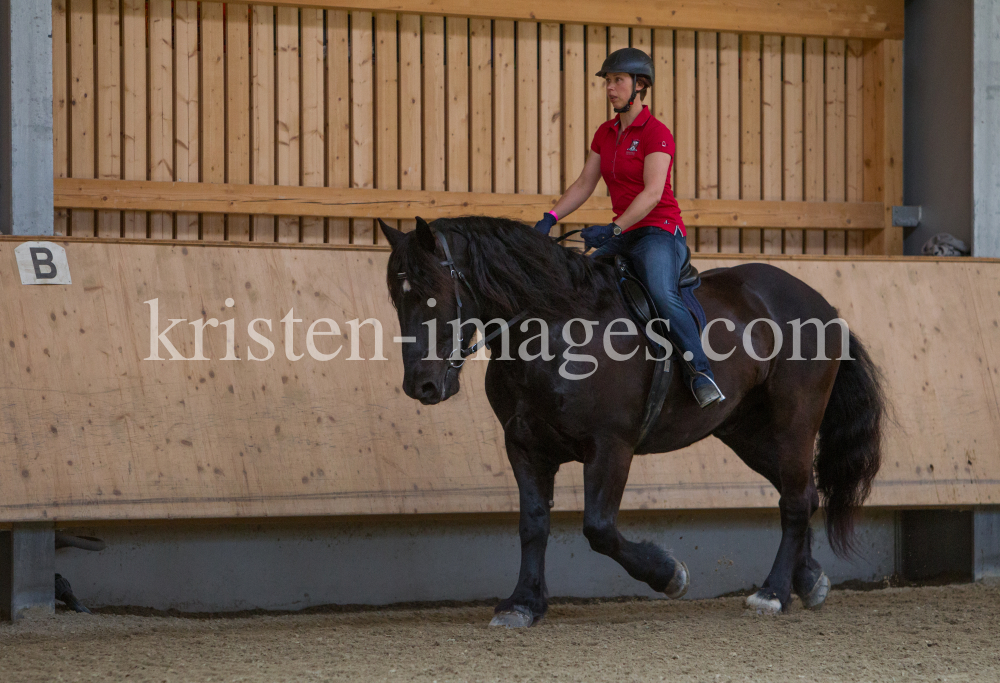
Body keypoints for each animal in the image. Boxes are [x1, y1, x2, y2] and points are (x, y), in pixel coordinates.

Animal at [378, 215, 888, 624]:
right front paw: (523, 603)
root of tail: (822, 305)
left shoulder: (610, 446)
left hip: (794, 420)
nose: (421, 385)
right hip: (746, 431)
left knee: (796, 500)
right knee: (801, 491)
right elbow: (533, 523)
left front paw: (669, 574)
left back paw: (774, 593)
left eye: (432, 294)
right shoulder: (524, 445)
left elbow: (599, 528)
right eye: (397, 299)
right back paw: (808, 581)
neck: (553, 330)